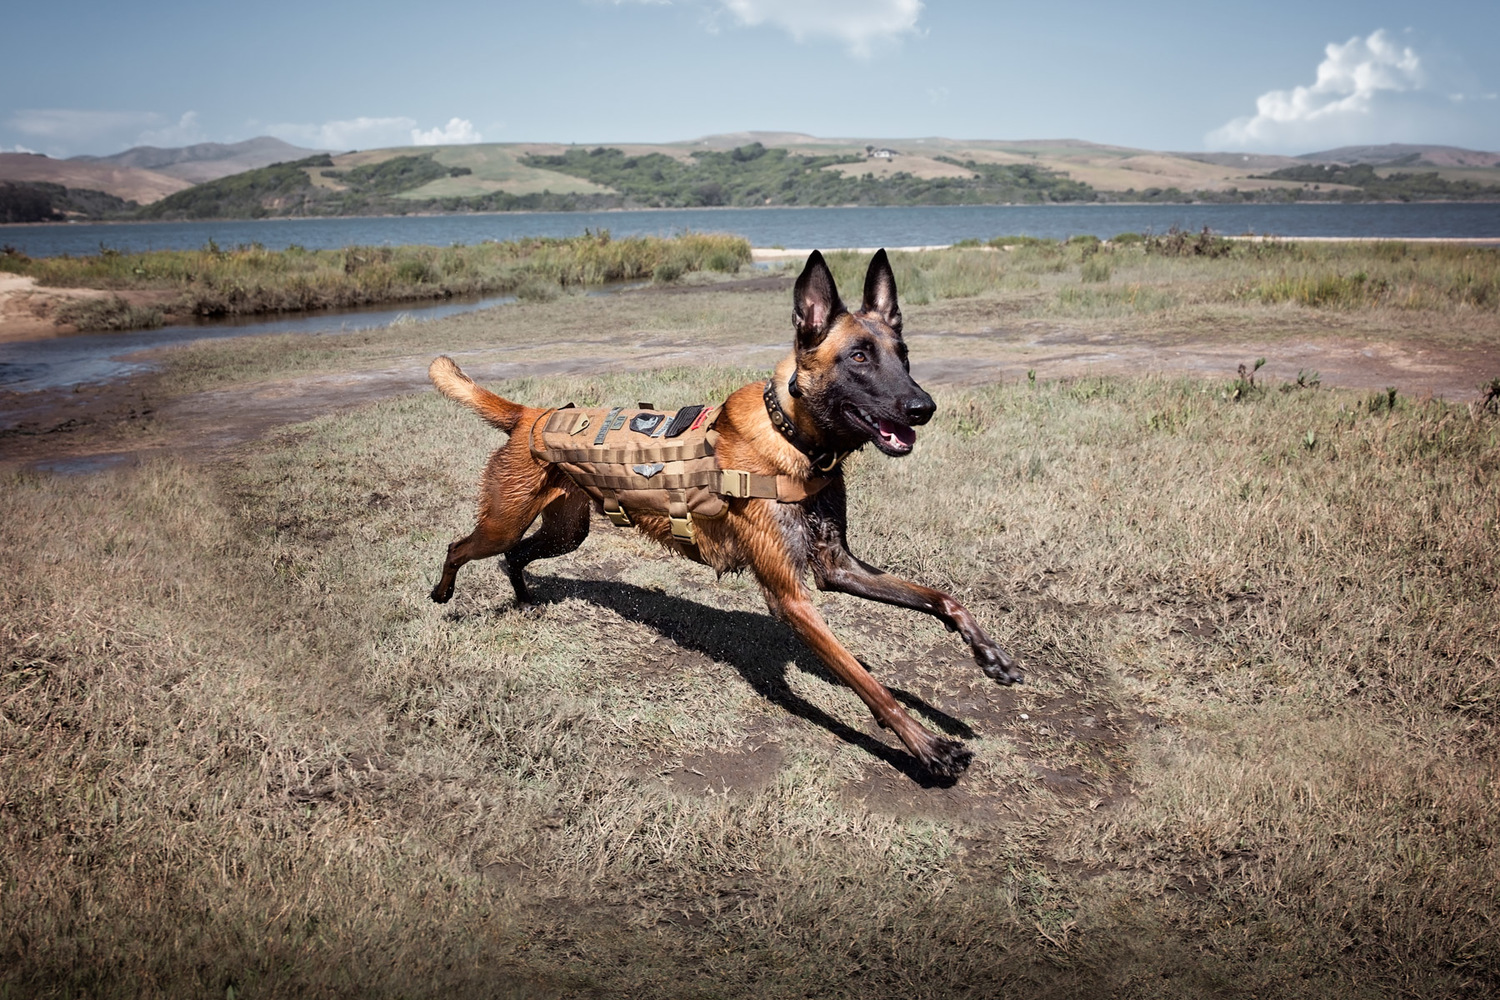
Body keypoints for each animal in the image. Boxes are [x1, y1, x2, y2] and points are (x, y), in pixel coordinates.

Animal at [429, 245, 1026, 779]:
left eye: (903, 354)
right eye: (858, 357)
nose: (924, 407)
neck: (793, 439)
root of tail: (531, 414)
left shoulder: (837, 568)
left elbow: (940, 598)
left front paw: (989, 655)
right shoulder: (792, 598)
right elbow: (869, 683)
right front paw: (928, 746)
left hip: (565, 531)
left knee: (514, 558)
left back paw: (524, 597)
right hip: (503, 522)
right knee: (461, 547)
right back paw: (442, 593)